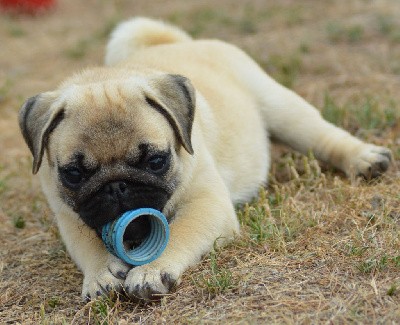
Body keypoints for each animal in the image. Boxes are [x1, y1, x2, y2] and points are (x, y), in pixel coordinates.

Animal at [18, 17, 390, 298]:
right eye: (74, 174)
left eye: (155, 161)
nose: (116, 187)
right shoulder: (70, 215)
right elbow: (88, 246)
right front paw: (101, 275)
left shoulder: (207, 204)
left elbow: (179, 232)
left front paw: (152, 269)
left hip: (284, 110)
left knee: (323, 136)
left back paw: (366, 159)